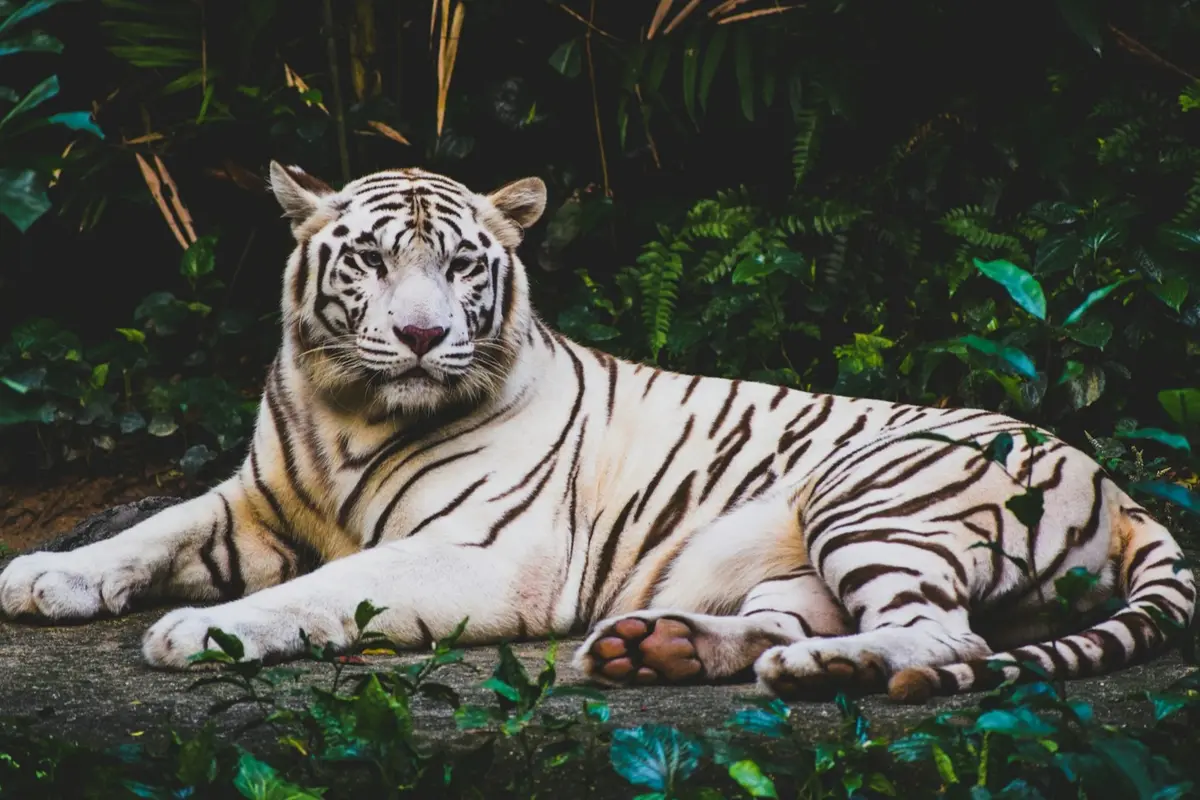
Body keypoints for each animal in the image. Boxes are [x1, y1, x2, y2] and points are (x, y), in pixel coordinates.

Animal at [0, 161, 1194, 704]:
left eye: (462, 265)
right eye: (373, 260)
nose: (424, 335)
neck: (351, 410)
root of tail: (1122, 488)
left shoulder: (485, 553)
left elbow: (325, 588)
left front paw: (203, 632)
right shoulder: (253, 500)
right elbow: (149, 528)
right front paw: (44, 575)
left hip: (873, 494)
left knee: (949, 637)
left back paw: (822, 670)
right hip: (799, 557)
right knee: (800, 618)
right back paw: (658, 646)